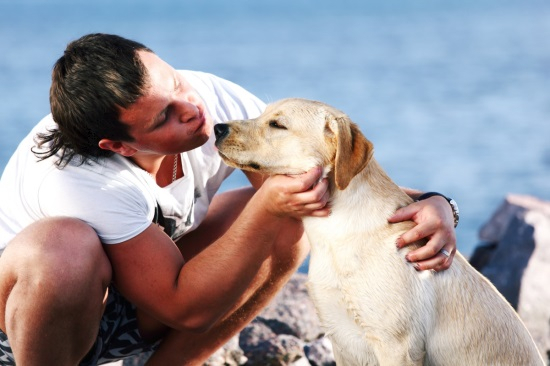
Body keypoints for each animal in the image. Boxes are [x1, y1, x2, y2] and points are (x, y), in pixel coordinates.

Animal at [213, 98, 544, 364]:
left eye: (277, 124)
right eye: (262, 114)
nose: (217, 128)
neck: (333, 234)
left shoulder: (397, 345)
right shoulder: (342, 340)